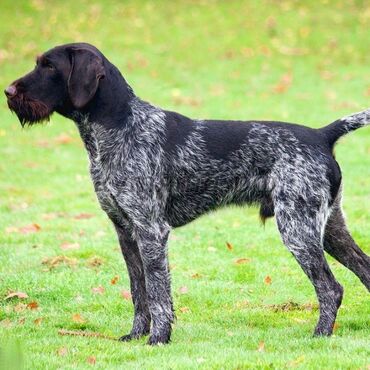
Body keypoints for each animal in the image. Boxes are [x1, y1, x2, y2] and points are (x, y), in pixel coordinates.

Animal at [3, 42, 370, 344]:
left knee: (330, 288)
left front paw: (158, 339)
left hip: (298, 229)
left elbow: (157, 292)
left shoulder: (151, 230)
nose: (8, 91)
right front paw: (136, 336)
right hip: (329, 228)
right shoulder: (125, 231)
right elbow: (138, 292)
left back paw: (320, 335)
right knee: (363, 269)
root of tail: (322, 135)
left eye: (49, 66)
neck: (119, 126)